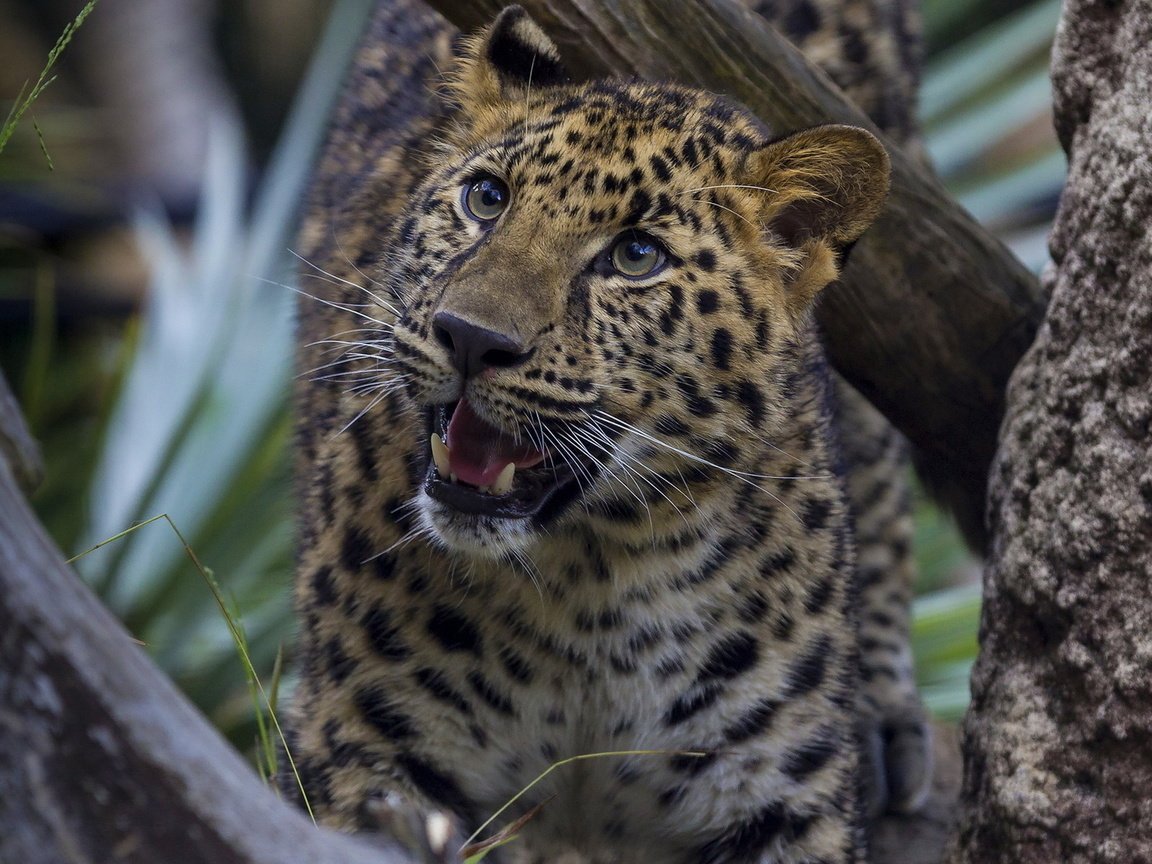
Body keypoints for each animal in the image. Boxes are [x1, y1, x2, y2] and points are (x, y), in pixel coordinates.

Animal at [283, 3, 930, 861]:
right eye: (487, 198)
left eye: (635, 255)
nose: (469, 338)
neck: (589, 587)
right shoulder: (364, 749)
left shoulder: (780, 803)